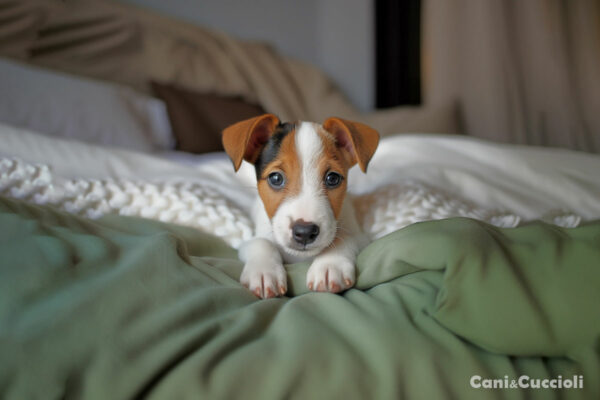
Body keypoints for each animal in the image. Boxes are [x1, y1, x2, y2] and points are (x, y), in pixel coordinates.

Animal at [220, 112, 380, 296]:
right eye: (276, 178)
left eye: (333, 178)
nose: (305, 232)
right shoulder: (248, 242)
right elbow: (261, 243)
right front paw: (263, 272)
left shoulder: (361, 238)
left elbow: (342, 238)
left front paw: (330, 265)